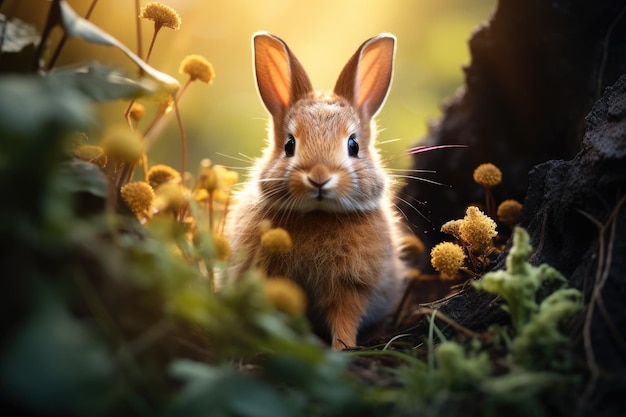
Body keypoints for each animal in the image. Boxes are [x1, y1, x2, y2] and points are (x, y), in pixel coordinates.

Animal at [225, 31, 404, 348]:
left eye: (353, 145)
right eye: (289, 145)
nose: (319, 177)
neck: (318, 214)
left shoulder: (352, 285)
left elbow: (345, 317)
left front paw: (343, 347)